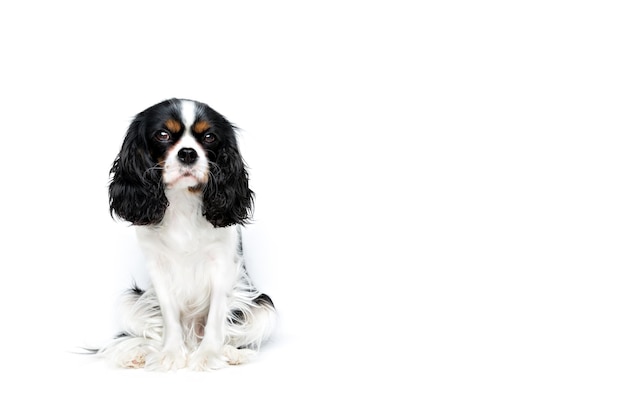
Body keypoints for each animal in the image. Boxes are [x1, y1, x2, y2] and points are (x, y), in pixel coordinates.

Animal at [97, 98, 272, 370]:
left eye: (209, 137)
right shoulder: (158, 267)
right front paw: (170, 354)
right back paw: (137, 353)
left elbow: (216, 316)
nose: (188, 153)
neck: (183, 200)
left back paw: (232, 353)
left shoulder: (223, 264)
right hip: (130, 301)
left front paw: (208, 355)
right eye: (163, 134)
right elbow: (169, 316)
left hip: (263, 306)